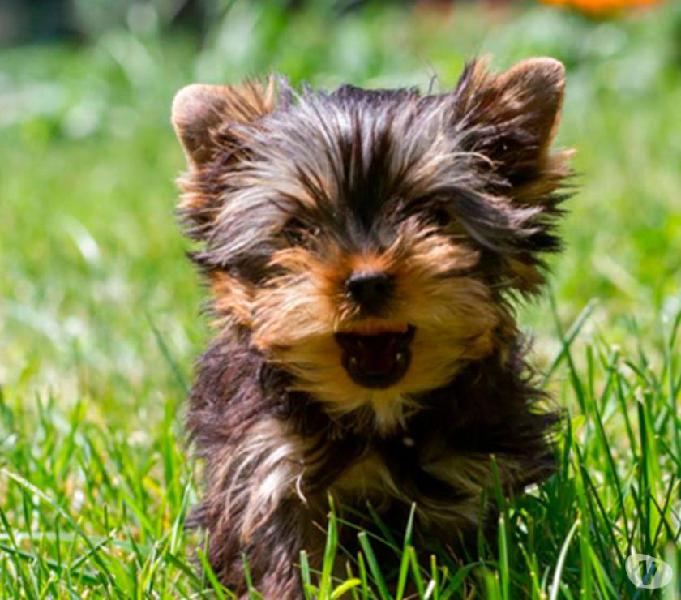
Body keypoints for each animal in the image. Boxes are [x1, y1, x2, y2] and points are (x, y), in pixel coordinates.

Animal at [173, 57, 572, 600]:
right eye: (298, 230)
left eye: (433, 215)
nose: (366, 282)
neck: (374, 413)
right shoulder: (268, 465)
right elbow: (290, 556)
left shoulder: (461, 474)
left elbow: (448, 557)